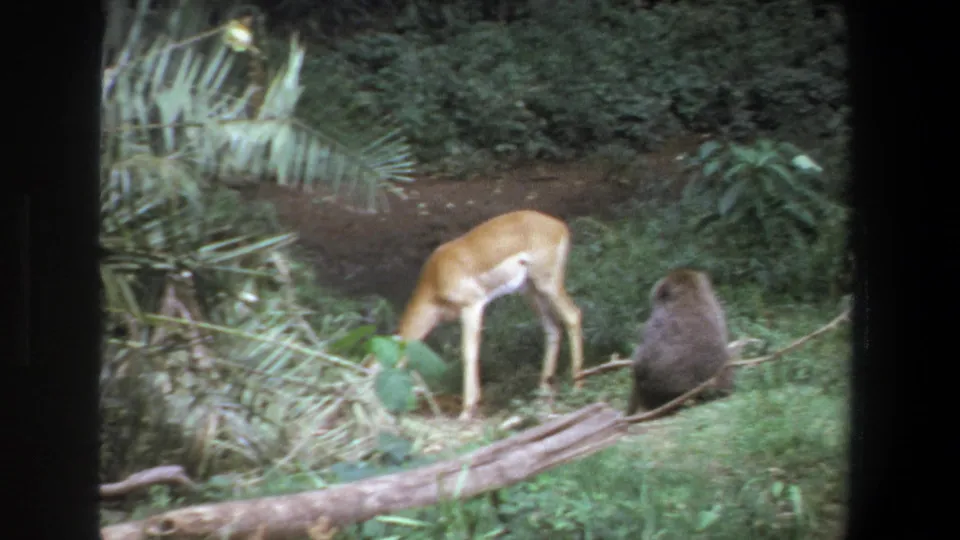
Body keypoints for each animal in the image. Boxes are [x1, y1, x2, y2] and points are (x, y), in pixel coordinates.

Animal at [396, 210, 584, 421]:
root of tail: (559, 225)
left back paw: (577, 388)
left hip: (548, 284)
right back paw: (542, 396)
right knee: (553, 327)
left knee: (573, 315)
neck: (436, 276)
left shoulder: (472, 306)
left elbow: (468, 353)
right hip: (531, 291)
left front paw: (466, 411)